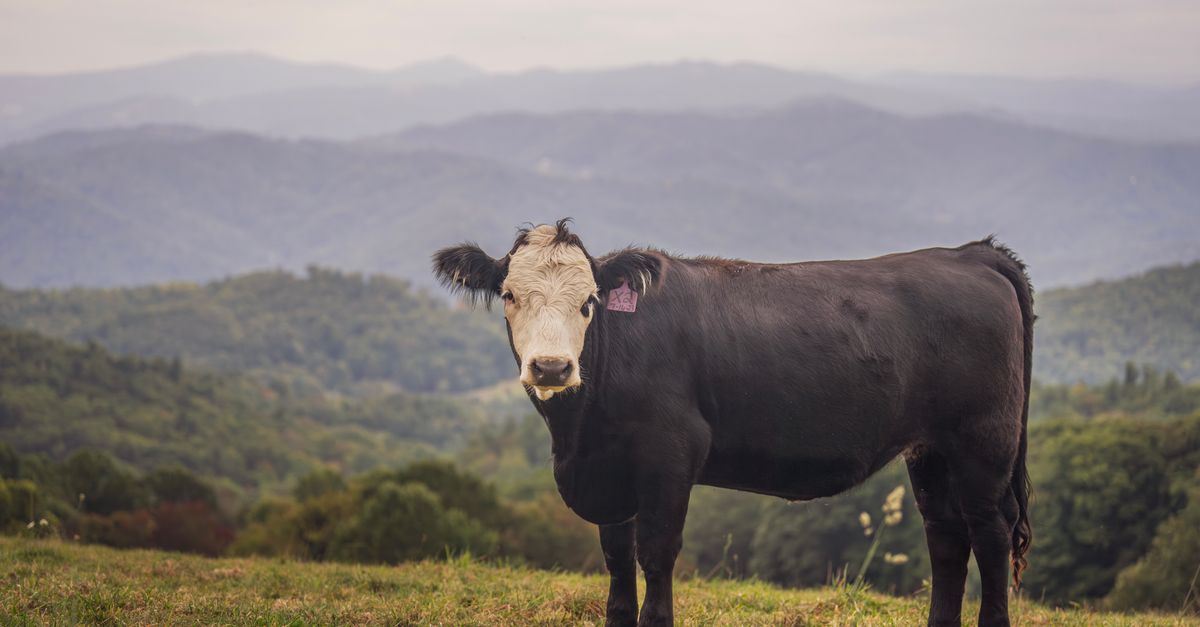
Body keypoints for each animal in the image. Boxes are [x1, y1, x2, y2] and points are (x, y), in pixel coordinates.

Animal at [433, 219, 1032, 627]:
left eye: (589, 300)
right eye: (509, 295)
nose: (552, 366)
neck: (577, 436)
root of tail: (970, 254)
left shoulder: (670, 453)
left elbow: (656, 551)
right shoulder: (609, 471)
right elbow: (617, 560)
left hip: (983, 443)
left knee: (990, 531)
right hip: (931, 450)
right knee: (946, 534)